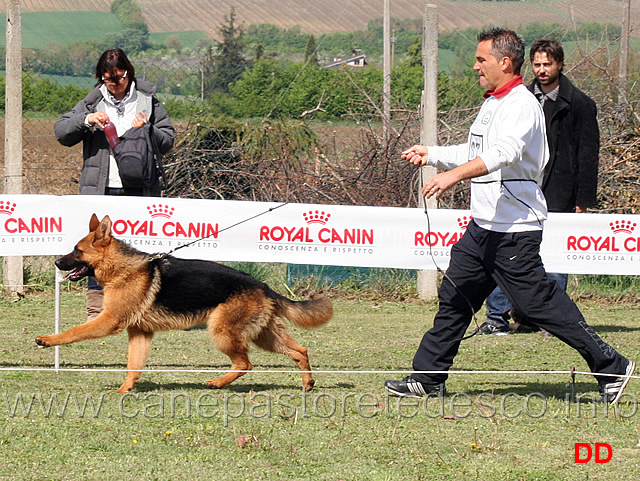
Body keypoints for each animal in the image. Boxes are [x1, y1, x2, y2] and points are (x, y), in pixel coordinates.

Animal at [35, 212, 332, 392]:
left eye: (77, 251)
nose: (56, 263)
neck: (122, 269)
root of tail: (263, 286)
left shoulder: (109, 322)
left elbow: (74, 332)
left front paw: (48, 340)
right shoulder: (140, 333)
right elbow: (133, 364)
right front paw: (124, 390)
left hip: (223, 333)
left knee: (245, 364)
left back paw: (217, 383)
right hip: (264, 336)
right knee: (300, 351)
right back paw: (308, 383)